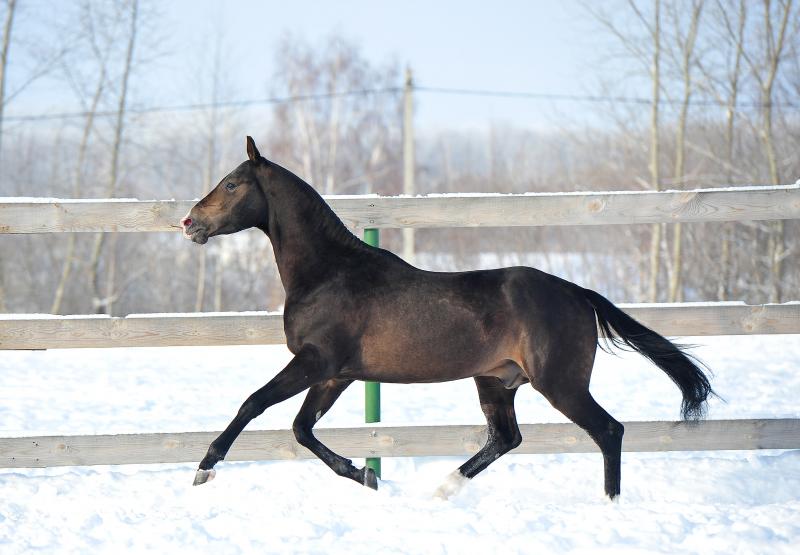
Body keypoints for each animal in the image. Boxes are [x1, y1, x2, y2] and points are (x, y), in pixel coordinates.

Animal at [181, 137, 712, 502]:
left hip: (561, 384)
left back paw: (609, 505)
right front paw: (368, 476)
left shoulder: (316, 361)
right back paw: (443, 489)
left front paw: (204, 469)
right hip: (496, 381)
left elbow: (254, 403)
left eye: (231, 184)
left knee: (608, 431)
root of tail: (578, 293)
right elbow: (301, 429)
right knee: (507, 437)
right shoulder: (337, 374)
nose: (189, 222)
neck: (329, 272)